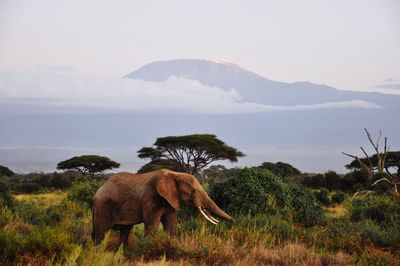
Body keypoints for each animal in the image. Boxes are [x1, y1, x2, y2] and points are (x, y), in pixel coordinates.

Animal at [92, 168, 233, 245]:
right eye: (193, 191)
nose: (233, 221)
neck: (174, 174)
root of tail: (99, 189)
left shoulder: (169, 199)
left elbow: (171, 222)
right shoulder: (151, 199)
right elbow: (152, 225)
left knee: (125, 230)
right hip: (102, 205)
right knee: (100, 232)